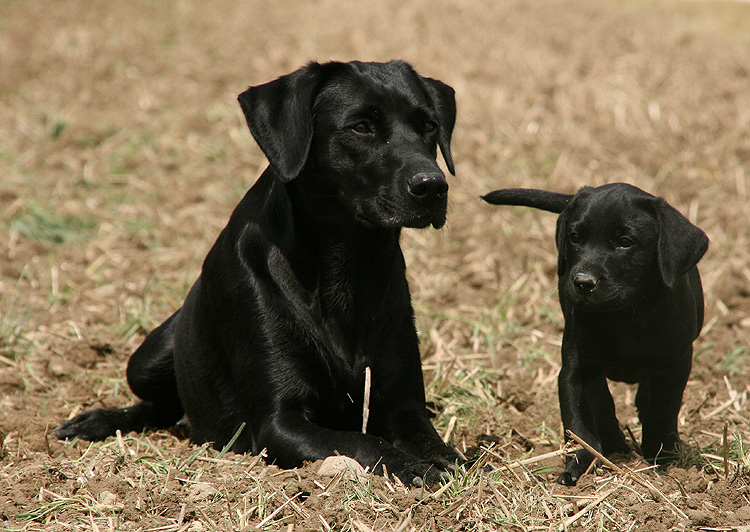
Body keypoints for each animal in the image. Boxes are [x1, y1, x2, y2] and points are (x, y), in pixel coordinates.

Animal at [55, 60, 462, 488]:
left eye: (429, 125)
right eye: (361, 127)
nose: (433, 186)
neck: (348, 265)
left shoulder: (404, 404)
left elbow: (429, 439)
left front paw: (450, 462)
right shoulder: (278, 423)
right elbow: (363, 442)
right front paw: (413, 467)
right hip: (145, 360)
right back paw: (93, 422)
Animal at [484, 184, 708, 486]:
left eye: (625, 241)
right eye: (575, 237)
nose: (582, 282)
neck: (625, 315)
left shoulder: (675, 363)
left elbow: (663, 409)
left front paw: (664, 456)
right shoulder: (577, 370)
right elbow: (579, 425)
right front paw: (580, 465)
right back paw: (615, 443)